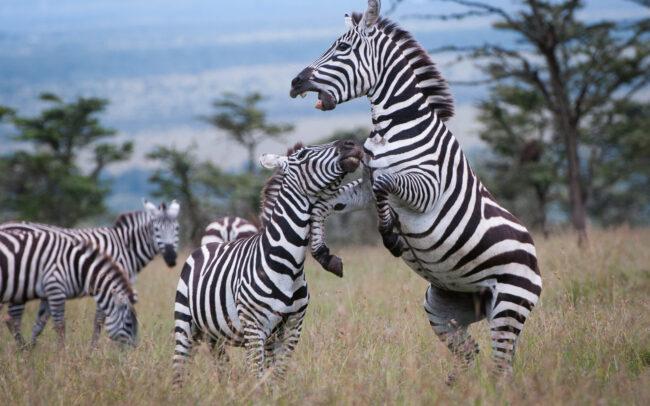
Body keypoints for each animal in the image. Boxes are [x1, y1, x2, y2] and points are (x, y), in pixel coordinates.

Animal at [0, 229, 138, 347]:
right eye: (129, 324)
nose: (135, 349)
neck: (77, 265)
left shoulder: (48, 293)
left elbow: (39, 323)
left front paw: (30, 349)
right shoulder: (55, 287)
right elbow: (60, 325)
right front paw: (61, 354)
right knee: (13, 319)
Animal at [172, 139, 363, 387]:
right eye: (302, 155)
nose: (352, 143)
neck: (288, 265)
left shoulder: (292, 327)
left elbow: (277, 374)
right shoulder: (255, 328)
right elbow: (258, 375)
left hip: (214, 334)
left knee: (220, 366)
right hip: (185, 322)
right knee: (179, 367)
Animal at [289, 0, 542, 380]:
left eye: (343, 48)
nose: (295, 81)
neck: (394, 127)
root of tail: (534, 255)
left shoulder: (427, 188)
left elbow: (385, 185)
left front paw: (391, 235)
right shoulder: (365, 184)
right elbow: (326, 205)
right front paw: (323, 253)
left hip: (509, 304)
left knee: (501, 366)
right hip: (443, 309)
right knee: (471, 356)